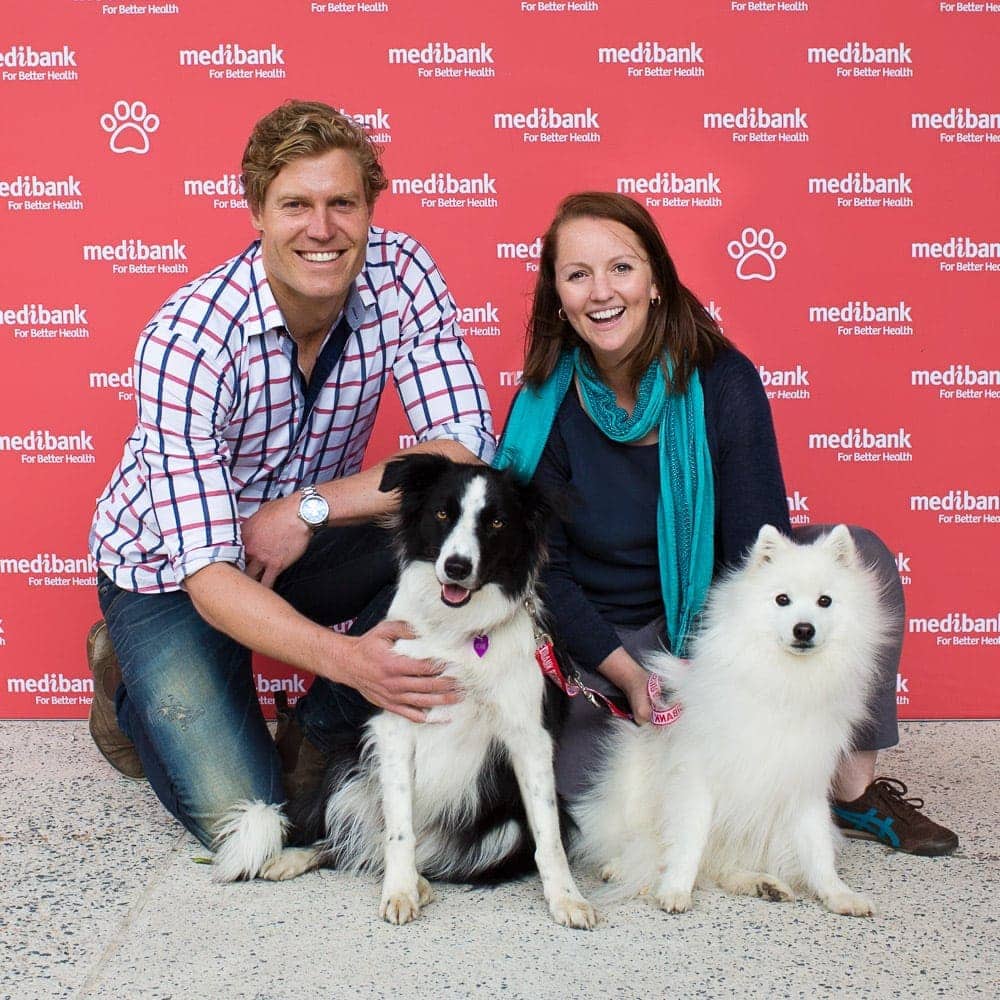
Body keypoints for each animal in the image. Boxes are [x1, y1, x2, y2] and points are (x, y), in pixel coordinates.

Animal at [213, 456, 592, 928]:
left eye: (497, 522)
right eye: (443, 514)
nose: (456, 567)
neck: (459, 633)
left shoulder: (529, 739)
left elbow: (549, 835)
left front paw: (567, 898)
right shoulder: (396, 727)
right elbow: (398, 829)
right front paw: (399, 891)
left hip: (505, 831)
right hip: (349, 772)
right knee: (349, 841)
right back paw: (306, 860)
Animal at [576, 528, 896, 916]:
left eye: (825, 601)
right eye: (782, 599)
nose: (804, 629)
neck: (784, 684)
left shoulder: (805, 782)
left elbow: (818, 848)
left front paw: (838, 894)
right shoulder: (698, 778)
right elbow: (689, 841)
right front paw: (675, 889)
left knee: (725, 865)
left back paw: (764, 884)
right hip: (632, 787)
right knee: (636, 842)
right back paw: (620, 866)